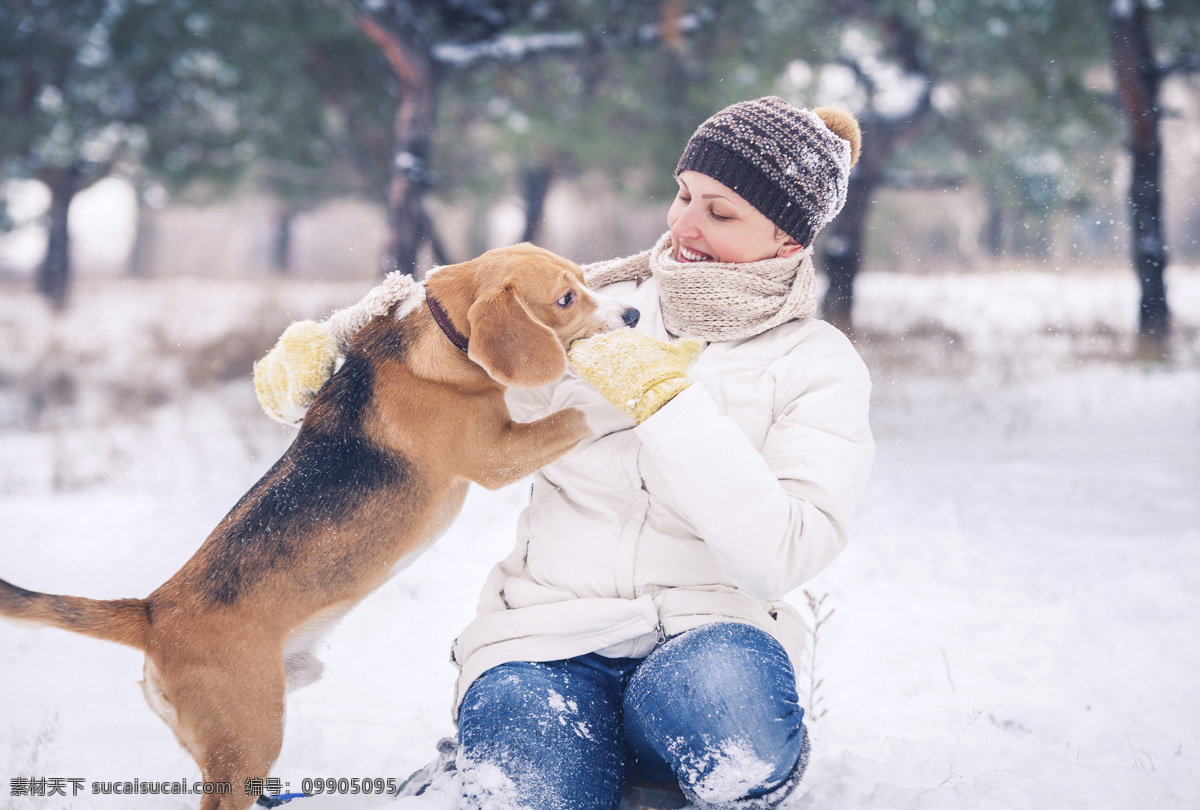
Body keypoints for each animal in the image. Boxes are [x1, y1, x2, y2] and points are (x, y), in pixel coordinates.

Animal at [0, 242, 638, 810]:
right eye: (564, 299)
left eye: (585, 281)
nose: (632, 317)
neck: (438, 335)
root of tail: (153, 611)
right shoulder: (496, 457)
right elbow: (577, 412)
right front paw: (627, 395)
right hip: (249, 740)